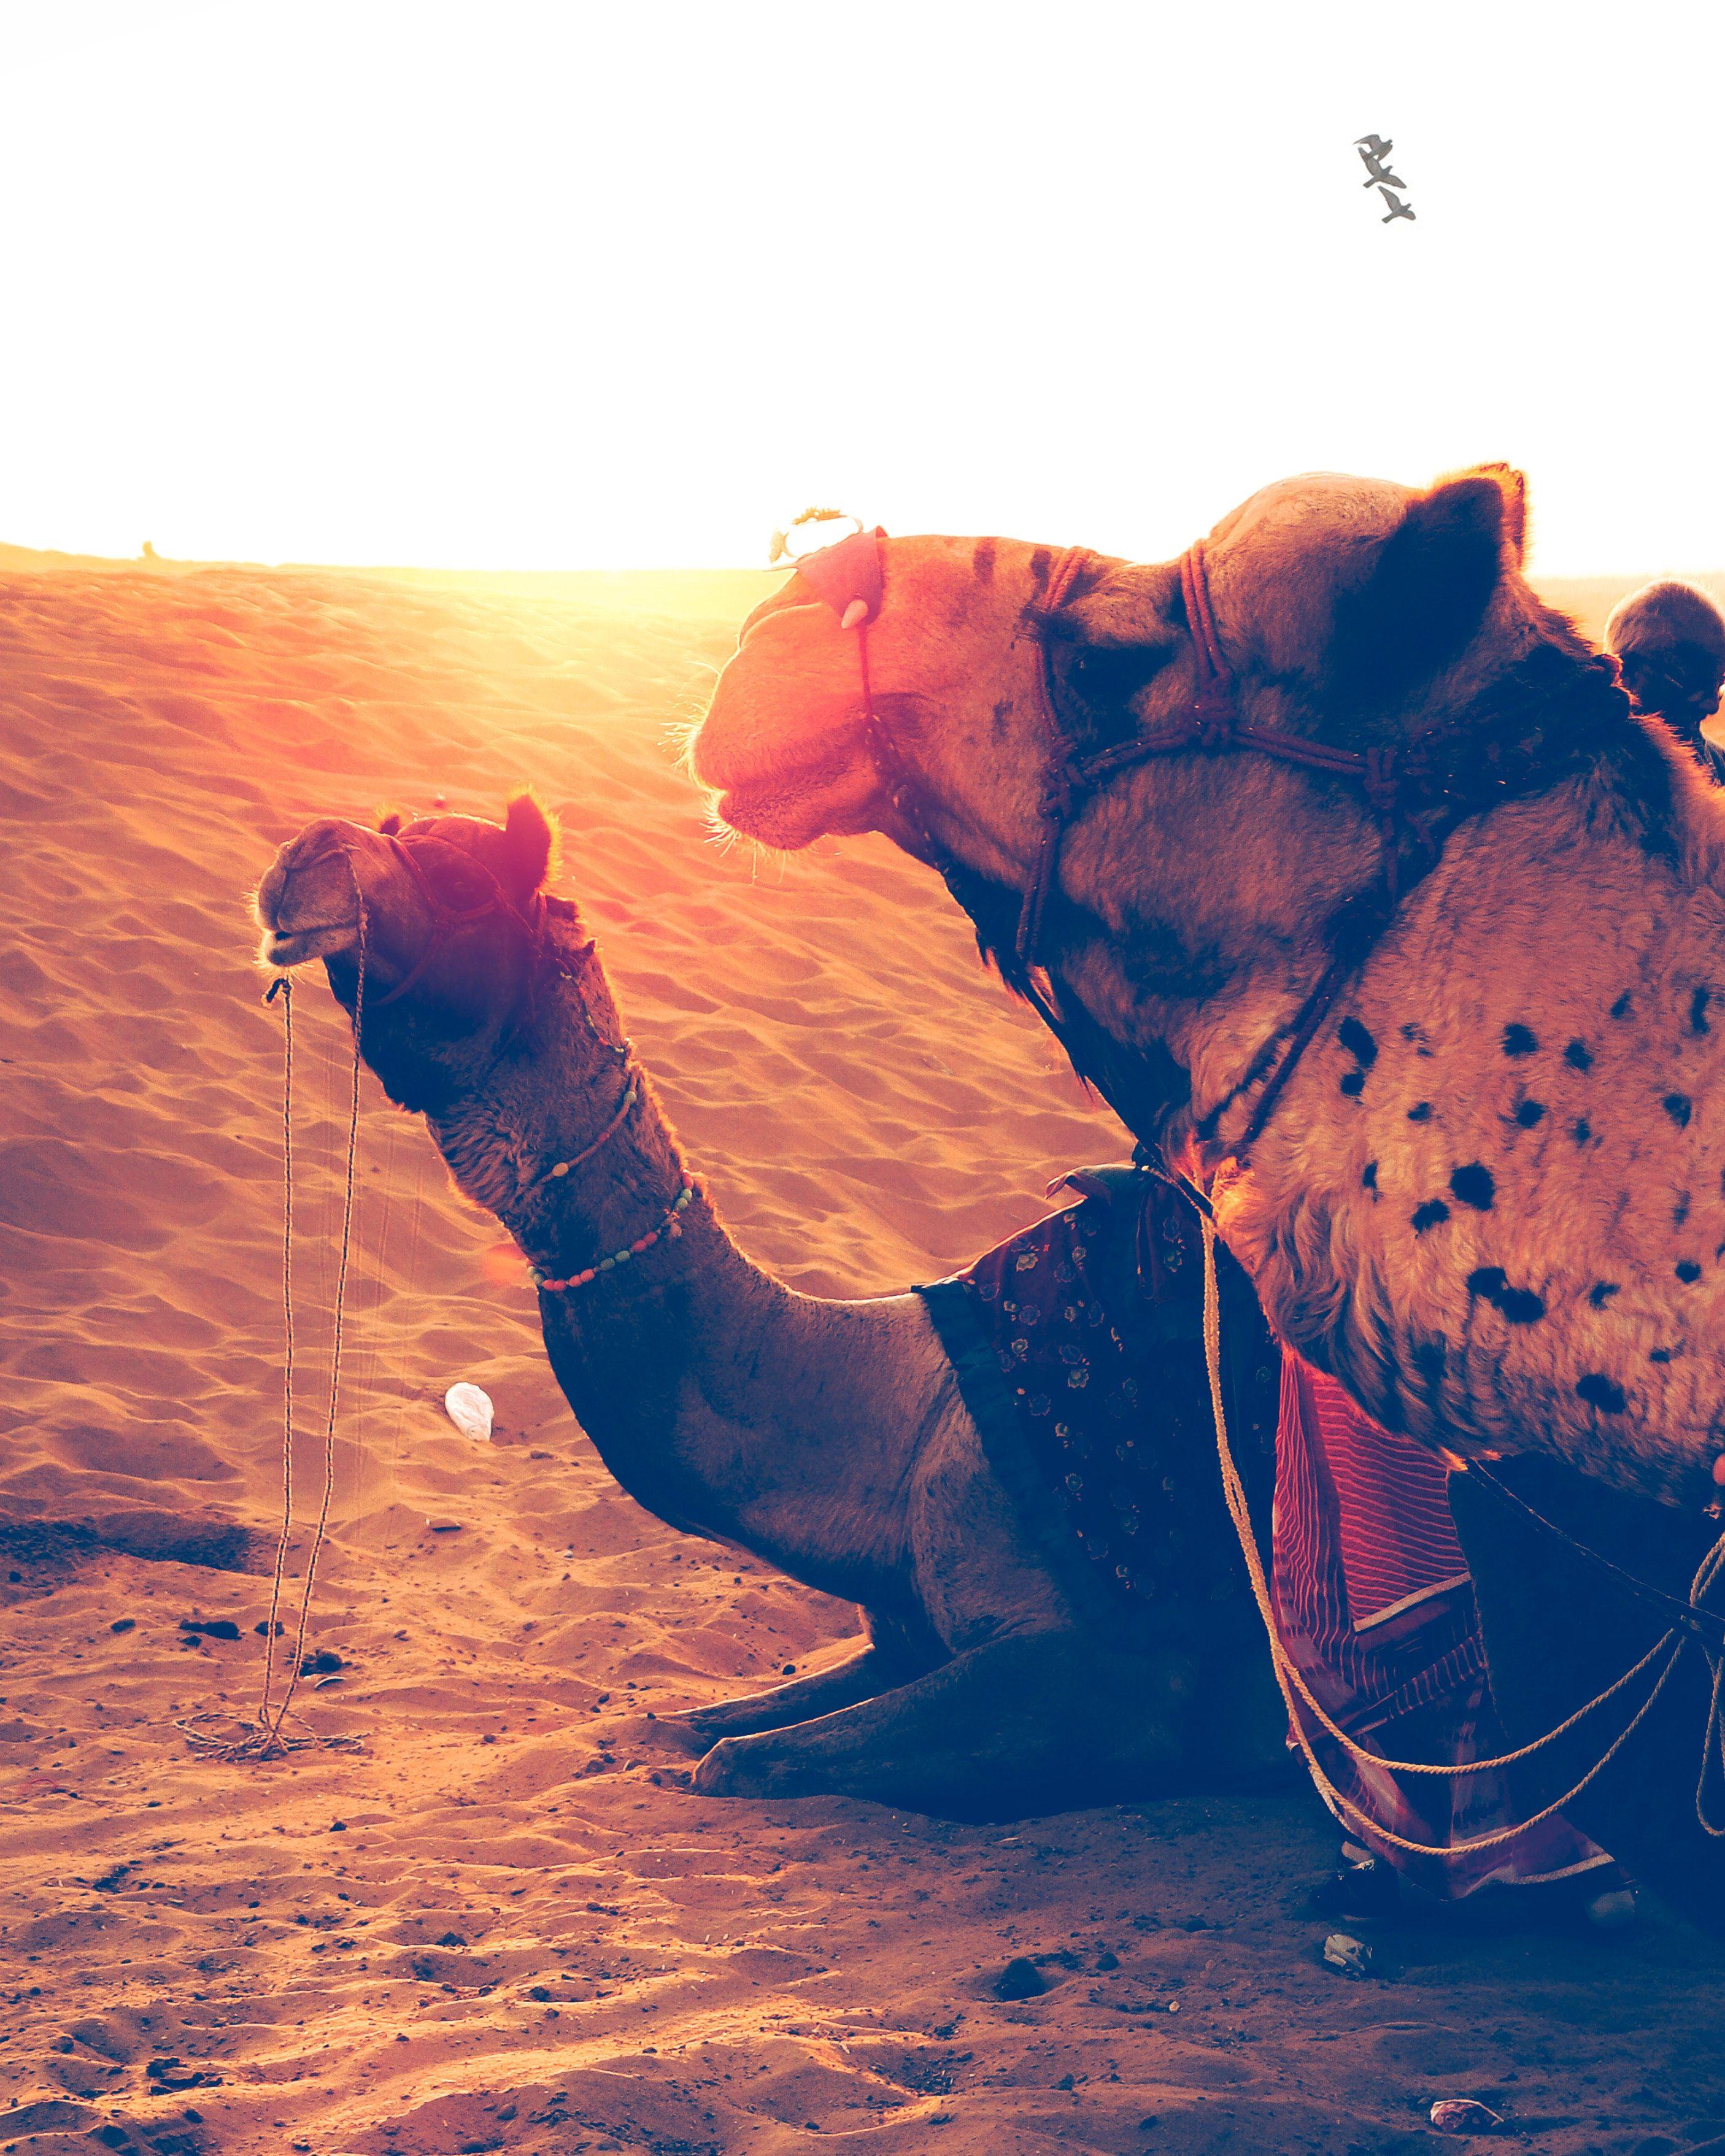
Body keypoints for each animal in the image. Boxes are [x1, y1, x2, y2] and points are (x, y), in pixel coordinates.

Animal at [250, 798, 1288, 1818]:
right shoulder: (899, 1636)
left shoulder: (1100, 1670)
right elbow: (679, 1728)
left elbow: (734, 1760)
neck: (899, 1426)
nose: (301, 856)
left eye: (461, 877)